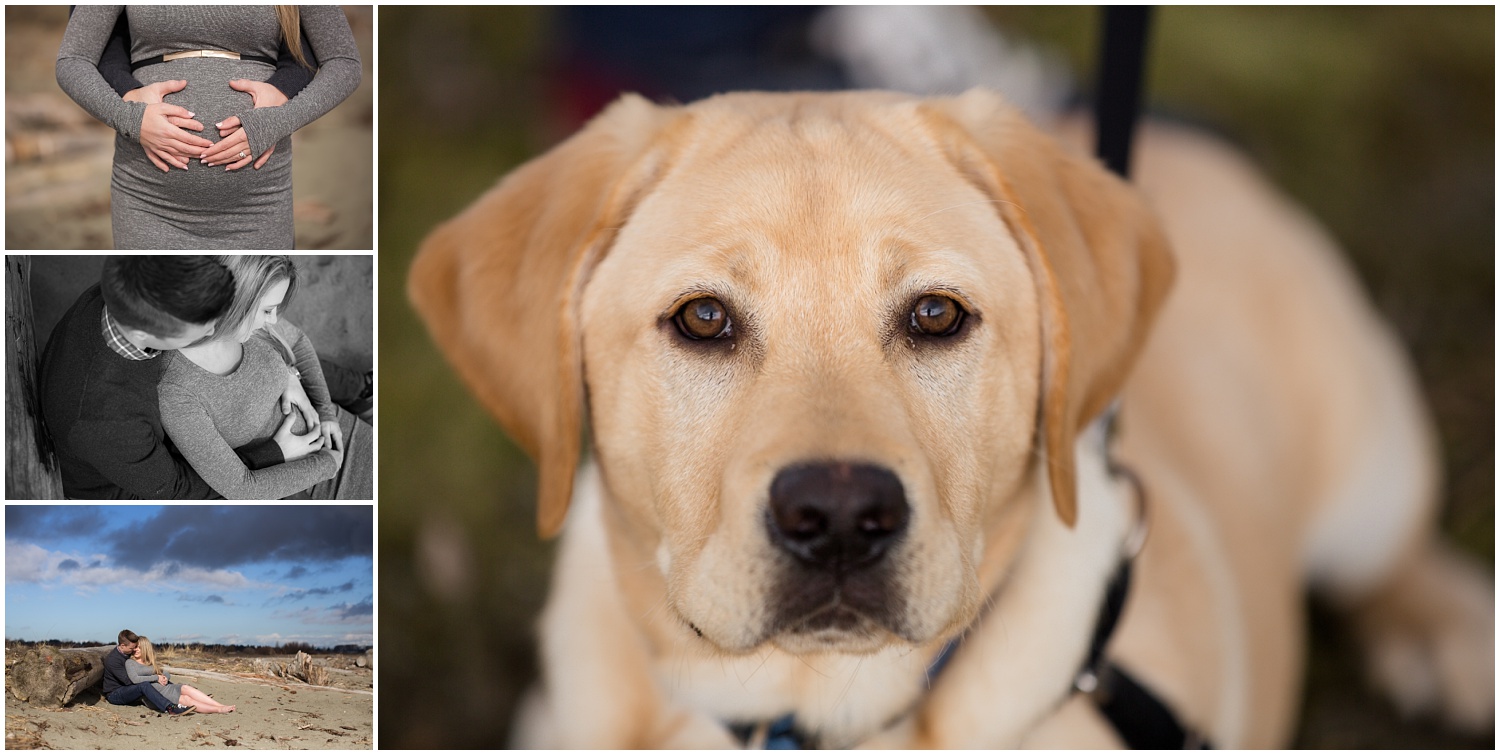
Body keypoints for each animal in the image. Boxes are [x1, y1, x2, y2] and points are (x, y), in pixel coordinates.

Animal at [408, 90, 1488, 750]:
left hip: (1369, 471)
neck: (808, 711)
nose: (840, 519)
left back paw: (1442, 630)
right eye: (703, 319)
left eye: (936, 315)